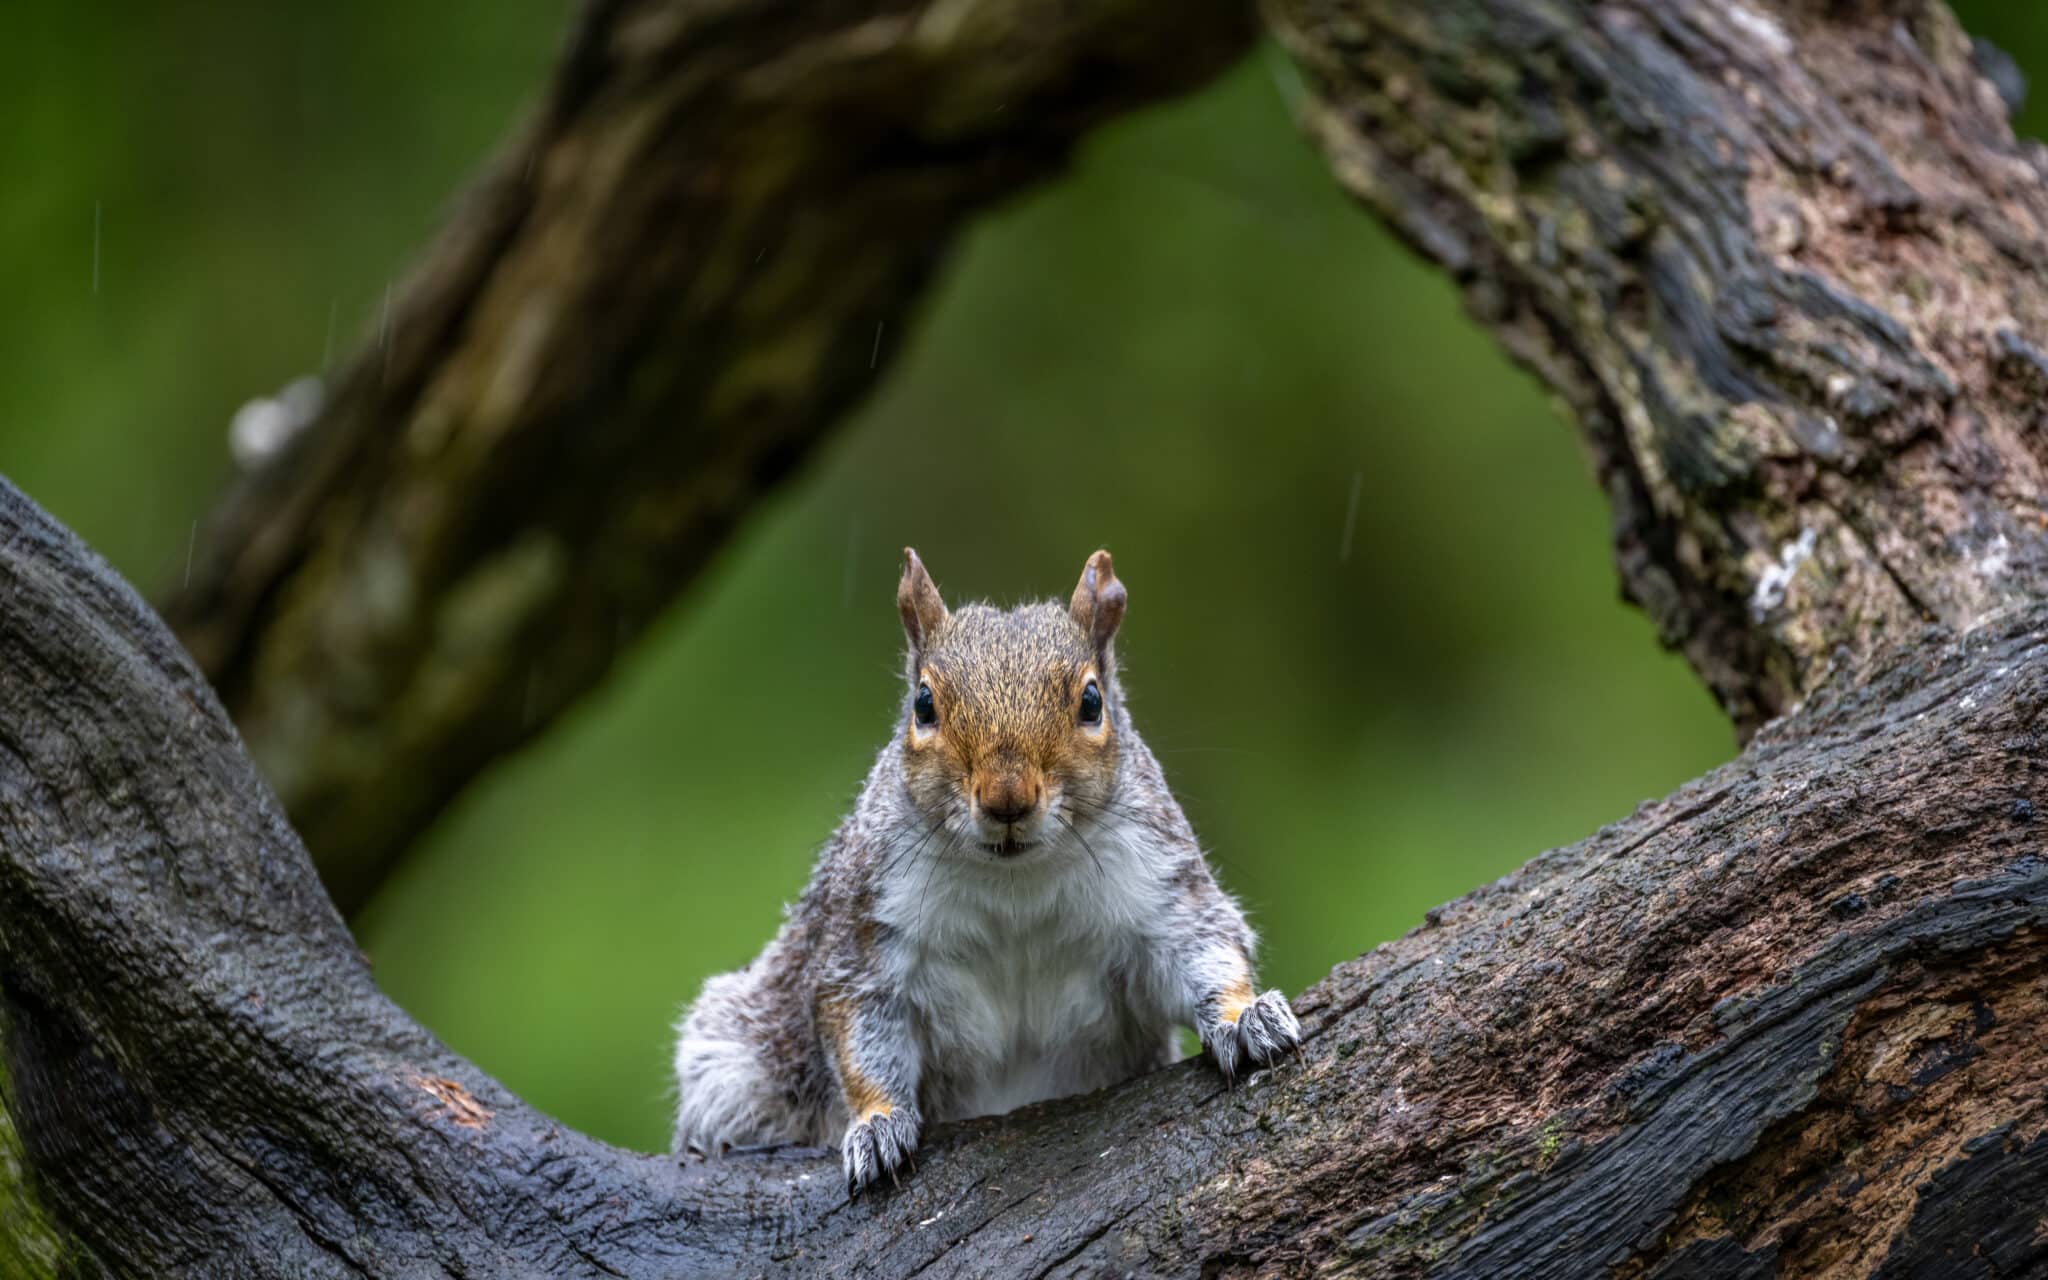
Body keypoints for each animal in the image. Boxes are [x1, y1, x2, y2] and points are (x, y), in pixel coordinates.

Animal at [670, 548, 1300, 1193]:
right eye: (923, 705)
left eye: (1091, 702)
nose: (1007, 799)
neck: (1014, 883)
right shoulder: (865, 935)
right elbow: (860, 1034)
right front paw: (878, 1123)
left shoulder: (1160, 883)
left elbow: (1202, 947)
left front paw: (1245, 1017)